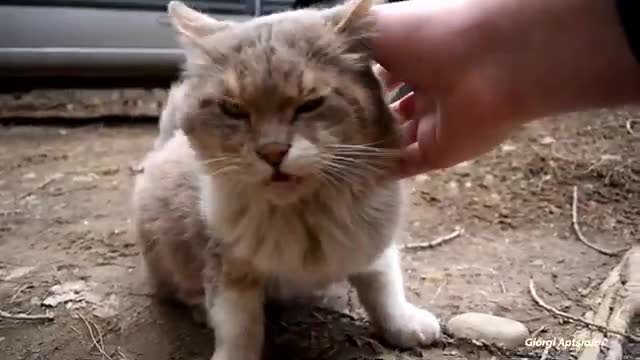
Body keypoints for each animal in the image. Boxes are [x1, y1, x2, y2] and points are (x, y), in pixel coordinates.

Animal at [130, 1, 440, 358]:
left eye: (310, 104)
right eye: (233, 109)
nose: (273, 152)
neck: (301, 213)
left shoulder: (371, 237)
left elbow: (383, 284)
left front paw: (403, 322)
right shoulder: (228, 264)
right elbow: (239, 324)